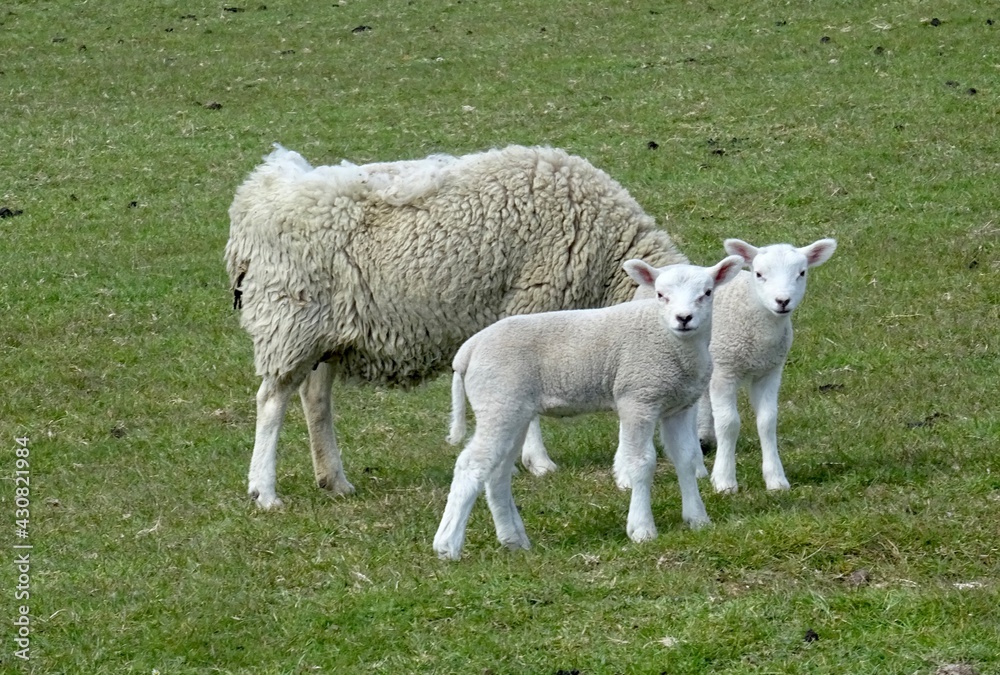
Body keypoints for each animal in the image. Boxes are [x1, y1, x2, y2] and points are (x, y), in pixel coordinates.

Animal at [225, 144, 688, 509]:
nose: (699, 446)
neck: (605, 256)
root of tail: (259, 192)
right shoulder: (532, 304)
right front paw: (538, 462)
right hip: (289, 320)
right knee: (271, 401)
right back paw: (264, 491)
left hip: (326, 334)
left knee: (315, 399)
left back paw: (334, 480)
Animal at [433, 255, 744, 560]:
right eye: (660, 295)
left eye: (707, 293)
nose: (684, 318)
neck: (669, 338)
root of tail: (468, 351)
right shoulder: (638, 398)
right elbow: (641, 463)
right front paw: (642, 530)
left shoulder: (678, 406)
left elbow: (686, 458)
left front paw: (698, 520)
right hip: (498, 401)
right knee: (471, 466)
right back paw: (447, 546)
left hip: (513, 410)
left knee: (497, 474)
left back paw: (513, 540)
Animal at [697, 238, 837, 493]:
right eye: (759, 274)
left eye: (802, 273)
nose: (782, 301)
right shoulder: (724, 370)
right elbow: (729, 423)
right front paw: (724, 481)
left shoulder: (769, 371)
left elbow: (767, 421)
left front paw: (776, 480)